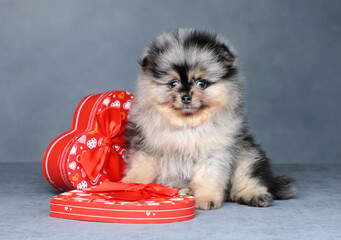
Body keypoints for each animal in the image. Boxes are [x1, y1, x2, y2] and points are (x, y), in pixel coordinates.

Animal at [122, 28, 294, 210]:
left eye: (202, 83)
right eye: (173, 83)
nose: (186, 97)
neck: (187, 125)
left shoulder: (213, 153)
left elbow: (207, 177)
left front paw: (206, 198)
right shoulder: (146, 144)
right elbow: (142, 166)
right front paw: (133, 184)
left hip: (248, 152)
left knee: (249, 176)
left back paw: (253, 194)